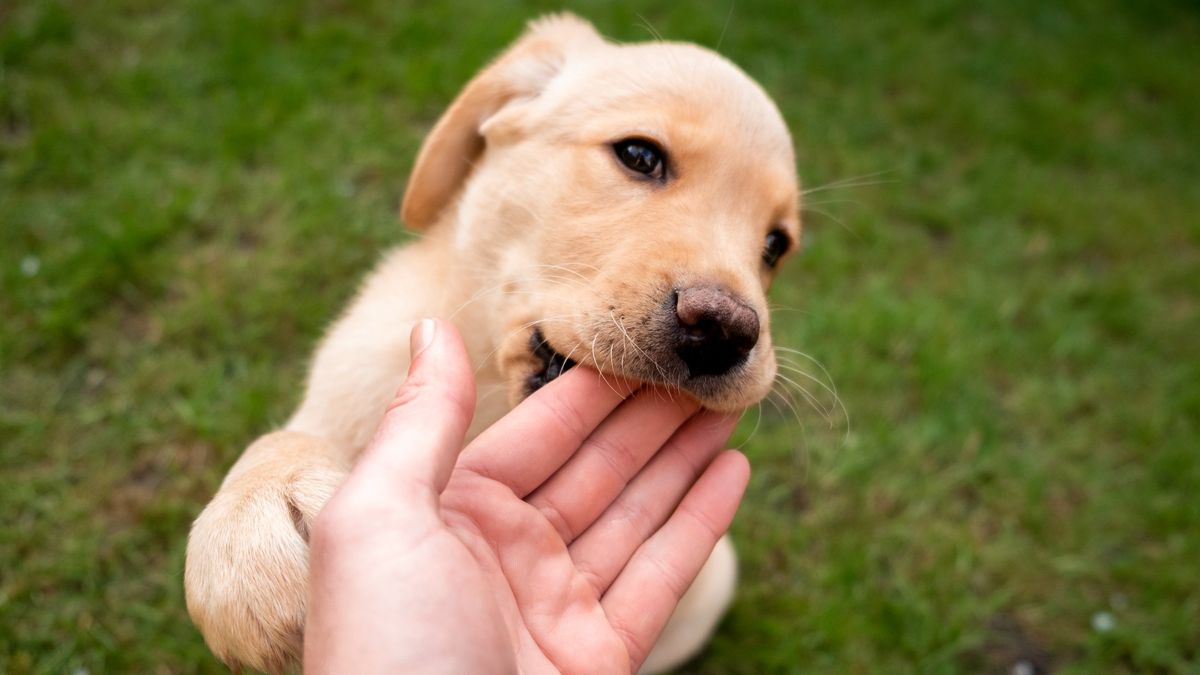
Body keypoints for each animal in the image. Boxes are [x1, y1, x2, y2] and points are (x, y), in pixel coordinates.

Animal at [184, 13, 796, 667]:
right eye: (639, 154)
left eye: (776, 245)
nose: (726, 331)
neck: (493, 403)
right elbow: (278, 440)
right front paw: (254, 519)